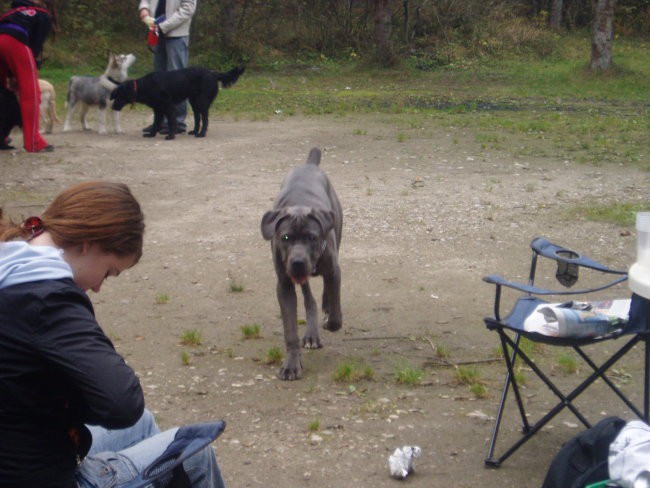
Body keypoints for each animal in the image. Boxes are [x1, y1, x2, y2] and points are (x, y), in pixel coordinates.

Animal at [110, 66, 244, 140]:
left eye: (119, 96)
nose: (113, 107)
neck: (145, 86)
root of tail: (213, 73)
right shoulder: (158, 109)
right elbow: (156, 123)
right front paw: (152, 134)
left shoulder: (168, 107)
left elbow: (171, 123)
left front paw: (171, 136)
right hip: (194, 102)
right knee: (197, 118)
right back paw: (195, 132)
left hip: (202, 102)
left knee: (205, 119)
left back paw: (201, 134)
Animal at [260, 148, 342, 382]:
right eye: (285, 237)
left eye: (312, 237)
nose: (297, 262)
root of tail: (309, 165)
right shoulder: (285, 285)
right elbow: (290, 331)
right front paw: (291, 365)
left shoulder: (334, 270)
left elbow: (335, 308)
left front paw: (331, 321)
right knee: (309, 299)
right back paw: (312, 334)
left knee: (325, 294)